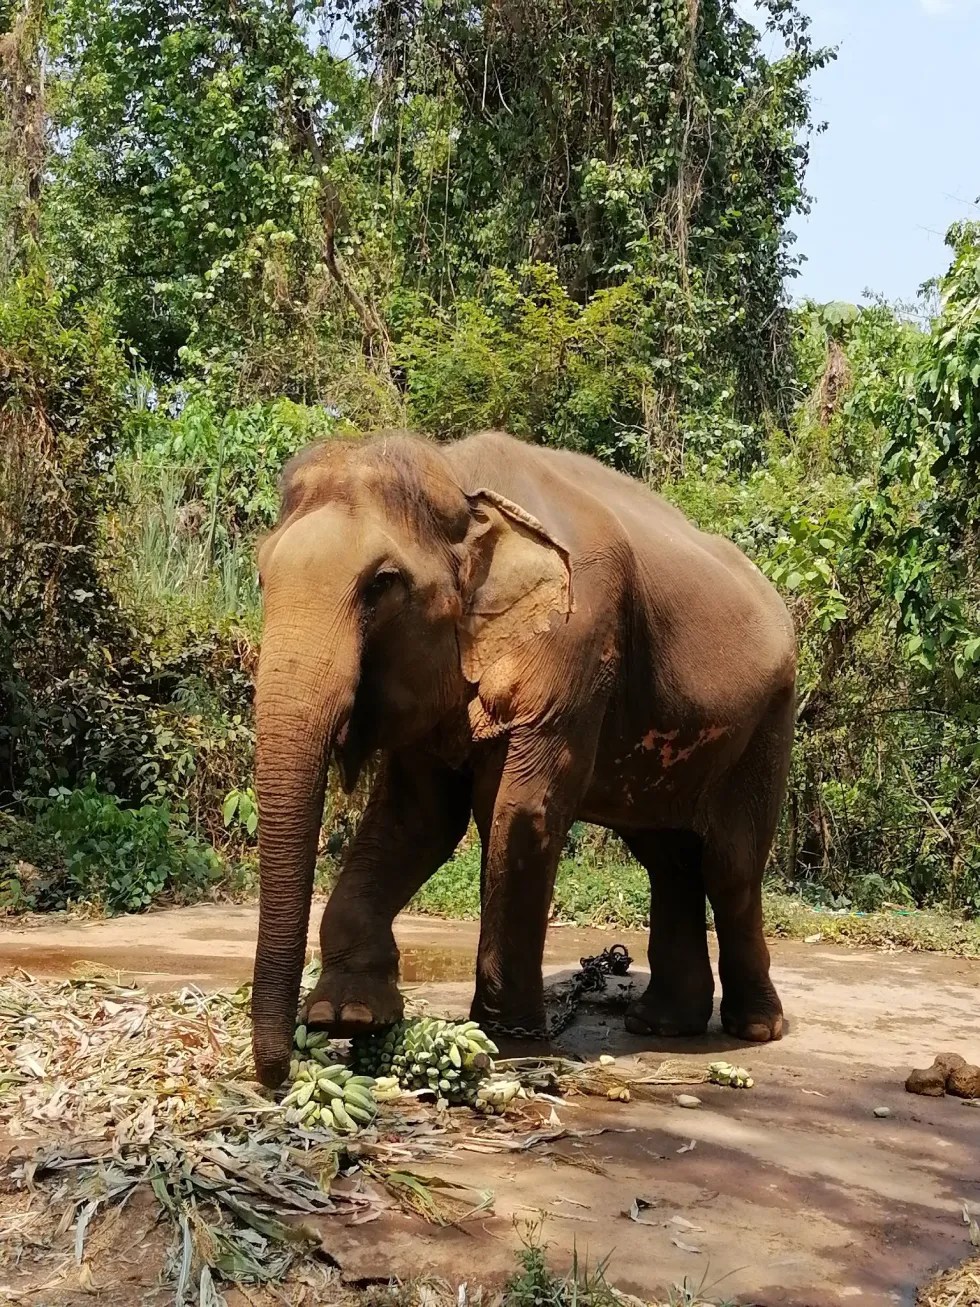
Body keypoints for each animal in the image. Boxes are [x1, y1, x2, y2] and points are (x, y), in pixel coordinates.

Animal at [251, 429, 796, 1087]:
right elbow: (416, 821)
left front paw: (510, 1042)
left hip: (769, 721)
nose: (278, 1073)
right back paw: (662, 1026)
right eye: (261, 575)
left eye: (382, 583)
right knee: (668, 861)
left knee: (731, 866)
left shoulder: (577, 642)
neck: (459, 479)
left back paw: (756, 1029)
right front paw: (349, 1015)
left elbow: (524, 812)